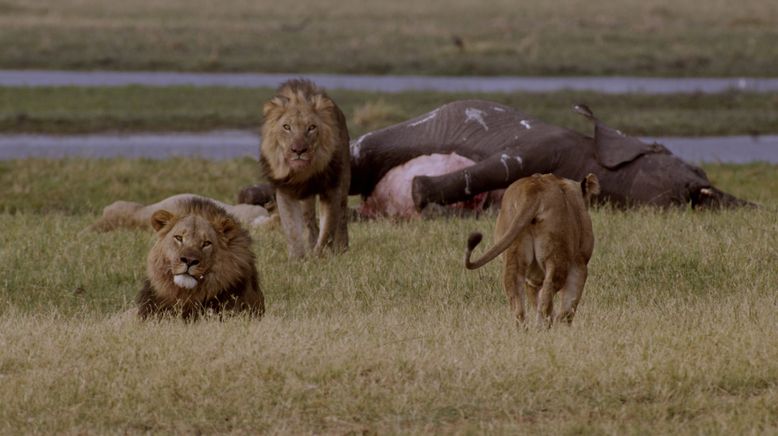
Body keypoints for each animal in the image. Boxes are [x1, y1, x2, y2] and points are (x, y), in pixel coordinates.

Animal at [260, 79, 350, 258]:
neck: (303, 174)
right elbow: (292, 229)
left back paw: (342, 250)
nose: (298, 150)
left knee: (342, 217)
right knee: (309, 221)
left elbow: (328, 227)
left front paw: (320, 256)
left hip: (344, 183)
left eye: (312, 127)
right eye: (286, 127)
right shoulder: (285, 190)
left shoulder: (331, 189)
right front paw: (297, 258)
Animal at [464, 173, 596, 328]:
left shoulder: (532, 279)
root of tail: (532, 189)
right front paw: (563, 328)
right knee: (547, 293)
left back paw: (524, 329)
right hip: (558, 257)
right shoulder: (580, 263)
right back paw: (542, 328)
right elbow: (569, 305)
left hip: (514, 250)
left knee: (516, 293)